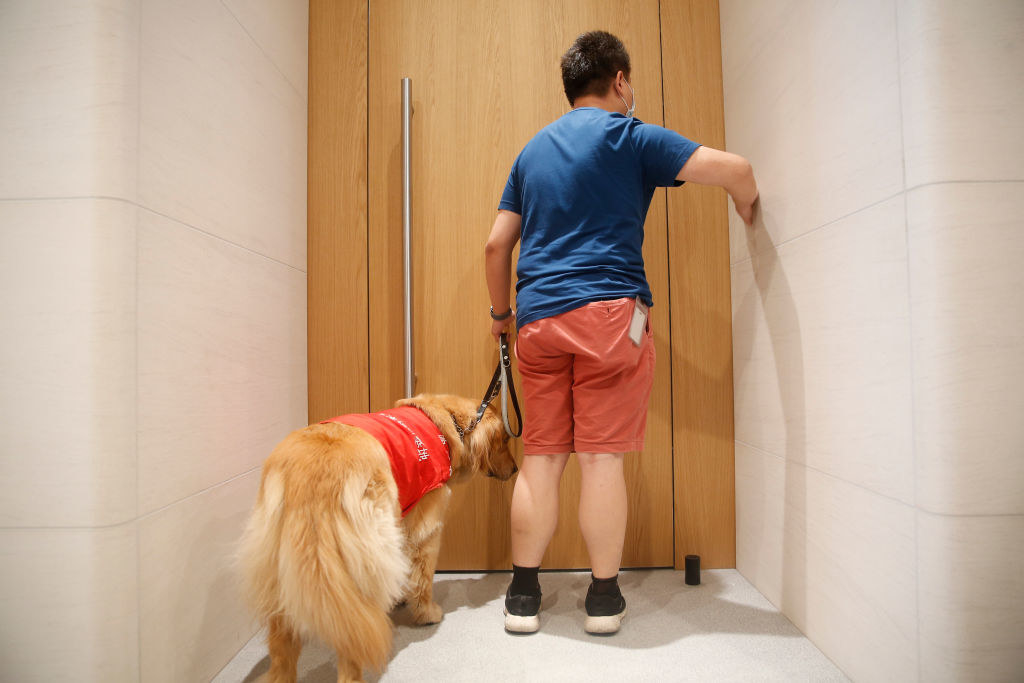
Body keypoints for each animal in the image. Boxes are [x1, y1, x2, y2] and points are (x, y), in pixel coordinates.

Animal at [236, 395, 516, 683]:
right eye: (505, 439)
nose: (516, 469)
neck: (447, 423)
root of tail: (315, 472)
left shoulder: (401, 521)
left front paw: (400, 598)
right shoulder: (426, 525)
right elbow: (422, 577)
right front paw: (426, 612)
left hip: (278, 568)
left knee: (283, 648)